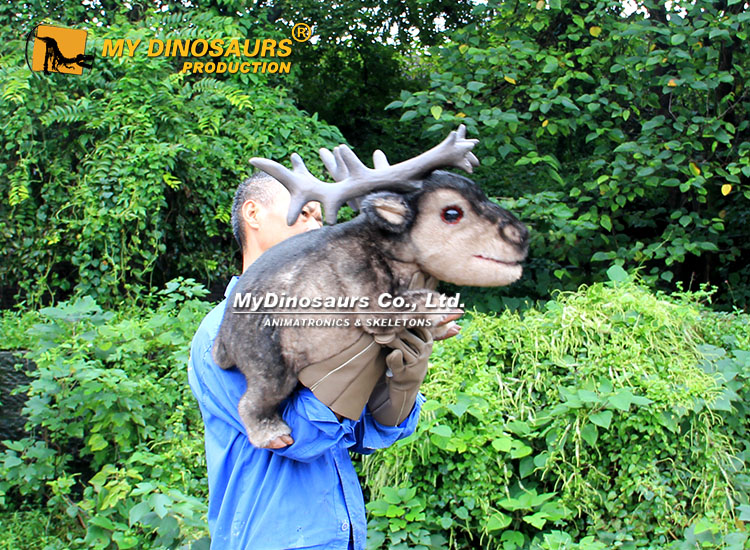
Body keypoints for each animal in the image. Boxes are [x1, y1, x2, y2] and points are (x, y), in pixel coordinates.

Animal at [212, 126, 529, 448]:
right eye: (452, 213)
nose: (522, 235)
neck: (387, 246)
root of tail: (222, 343)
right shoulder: (368, 294)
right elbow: (405, 305)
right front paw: (444, 309)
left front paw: (445, 328)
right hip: (269, 365)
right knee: (251, 402)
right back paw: (273, 435)